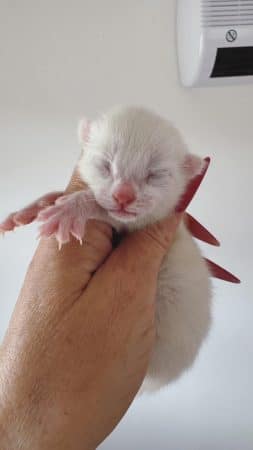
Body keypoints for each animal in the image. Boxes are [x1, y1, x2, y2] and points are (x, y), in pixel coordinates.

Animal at [0, 107, 212, 392]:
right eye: (105, 165)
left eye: (154, 174)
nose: (124, 196)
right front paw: (35, 206)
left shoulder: (143, 221)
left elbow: (103, 209)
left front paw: (72, 208)